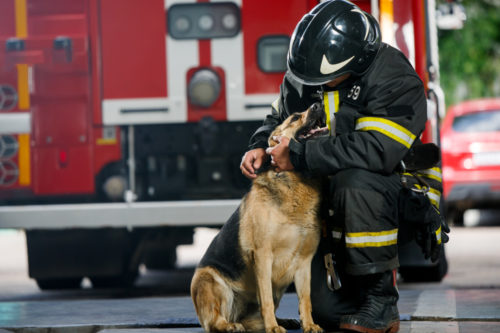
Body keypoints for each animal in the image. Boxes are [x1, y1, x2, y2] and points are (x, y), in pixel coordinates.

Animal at [191, 102, 328, 330]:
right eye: (295, 117)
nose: (317, 104)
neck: (295, 181)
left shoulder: (303, 262)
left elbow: (305, 298)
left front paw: (309, 325)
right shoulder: (263, 256)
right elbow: (266, 300)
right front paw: (273, 327)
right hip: (209, 280)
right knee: (214, 321)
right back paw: (231, 326)